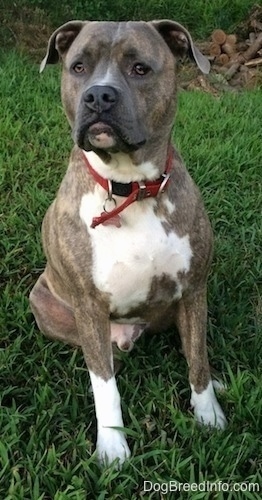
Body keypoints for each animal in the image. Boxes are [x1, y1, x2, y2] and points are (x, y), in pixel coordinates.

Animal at [29, 18, 226, 464]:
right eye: (78, 66)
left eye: (140, 69)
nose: (98, 95)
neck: (130, 188)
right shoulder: (89, 307)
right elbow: (105, 387)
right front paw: (113, 449)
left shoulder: (194, 290)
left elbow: (198, 361)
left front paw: (209, 415)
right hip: (50, 308)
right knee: (107, 359)